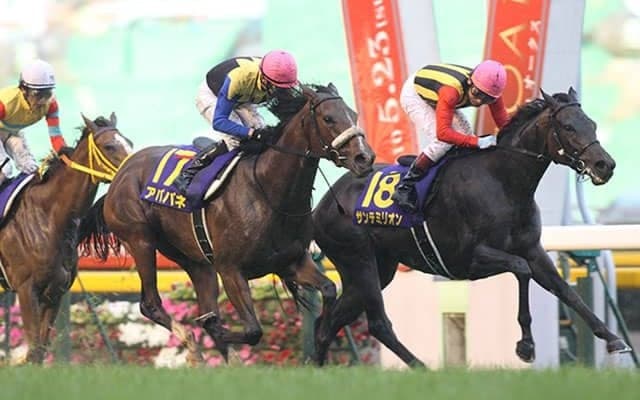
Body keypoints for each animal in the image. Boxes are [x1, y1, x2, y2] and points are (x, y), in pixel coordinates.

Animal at [0, 114, 132, 363]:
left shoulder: (54, 293)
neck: (48, 218)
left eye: (129, 142)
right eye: (109, 146)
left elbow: (40, 350)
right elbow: (33, 350)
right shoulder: (26, 289)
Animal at [79, 83, 375, 363]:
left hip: (196, 261)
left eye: (354, 114)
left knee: (202, 298)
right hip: (140, 241)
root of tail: (122, 172)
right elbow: (253, 330)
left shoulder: (291, 261)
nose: (365, 158)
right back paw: (195, 347)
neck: (267, 189)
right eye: (328, 118)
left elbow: (329, 288)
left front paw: (321, 344)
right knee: (150, 304)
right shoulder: (231, 269)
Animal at [312, 88, 631, 367]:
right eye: (568, 126)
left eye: (592, 124)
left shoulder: (533, 250)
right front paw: (526, 346)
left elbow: (566, 291)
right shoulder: (471, 257)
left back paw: (317, 367)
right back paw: (420, 367)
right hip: (359, 258)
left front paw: (614, 340)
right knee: (377, 323)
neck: (503, 181)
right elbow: (521, 270)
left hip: (378, 269)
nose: (605, 165)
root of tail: (321, 206)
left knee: (329, 323)